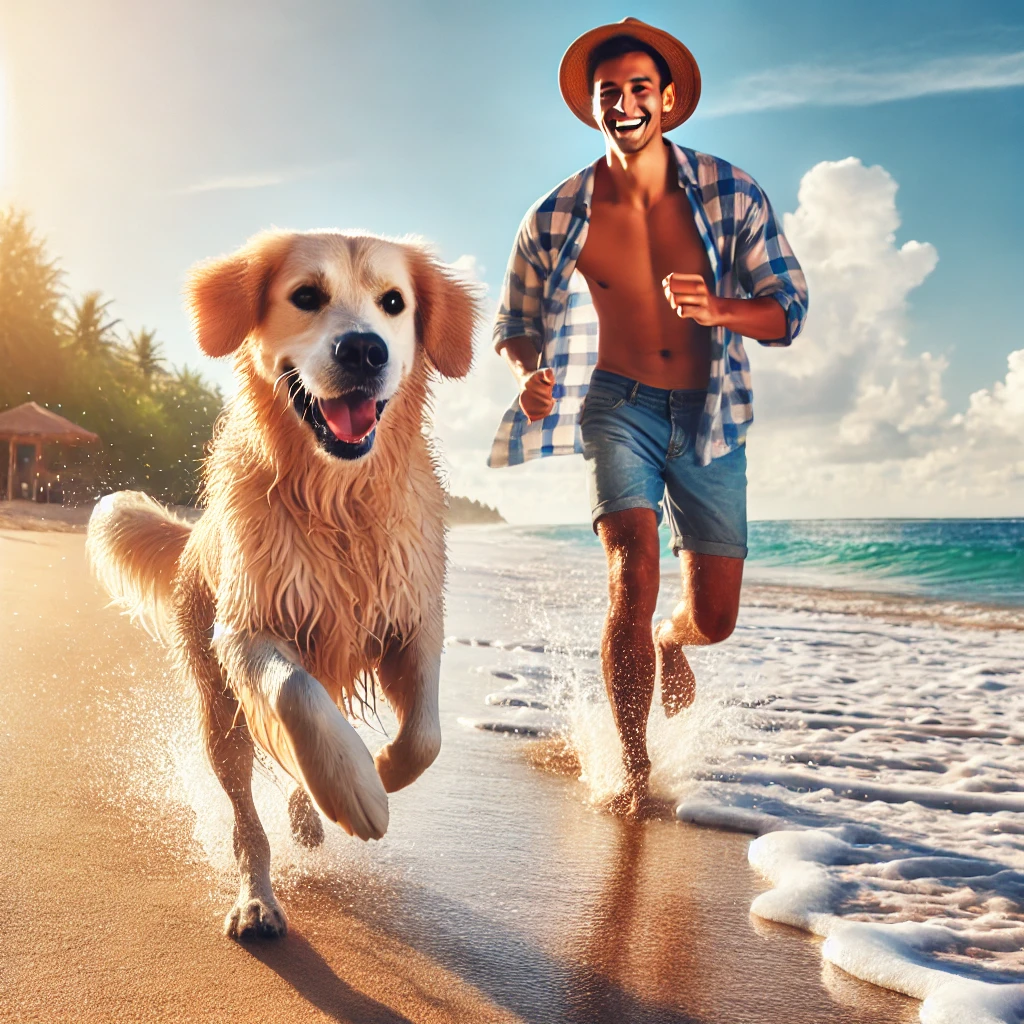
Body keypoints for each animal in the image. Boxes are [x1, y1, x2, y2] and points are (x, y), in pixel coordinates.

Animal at [86, 230, 477, 937]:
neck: (338, 499)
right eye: (306, 295)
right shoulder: (247, 629)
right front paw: (361, 790)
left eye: (394, 302)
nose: (364, 349)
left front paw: (377, 771)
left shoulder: (412, 617)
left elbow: (425, 736)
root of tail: (194, 538)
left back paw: (311, 811)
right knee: (246, 808)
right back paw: (257, 898)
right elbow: (293, 692)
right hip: (218, 711)